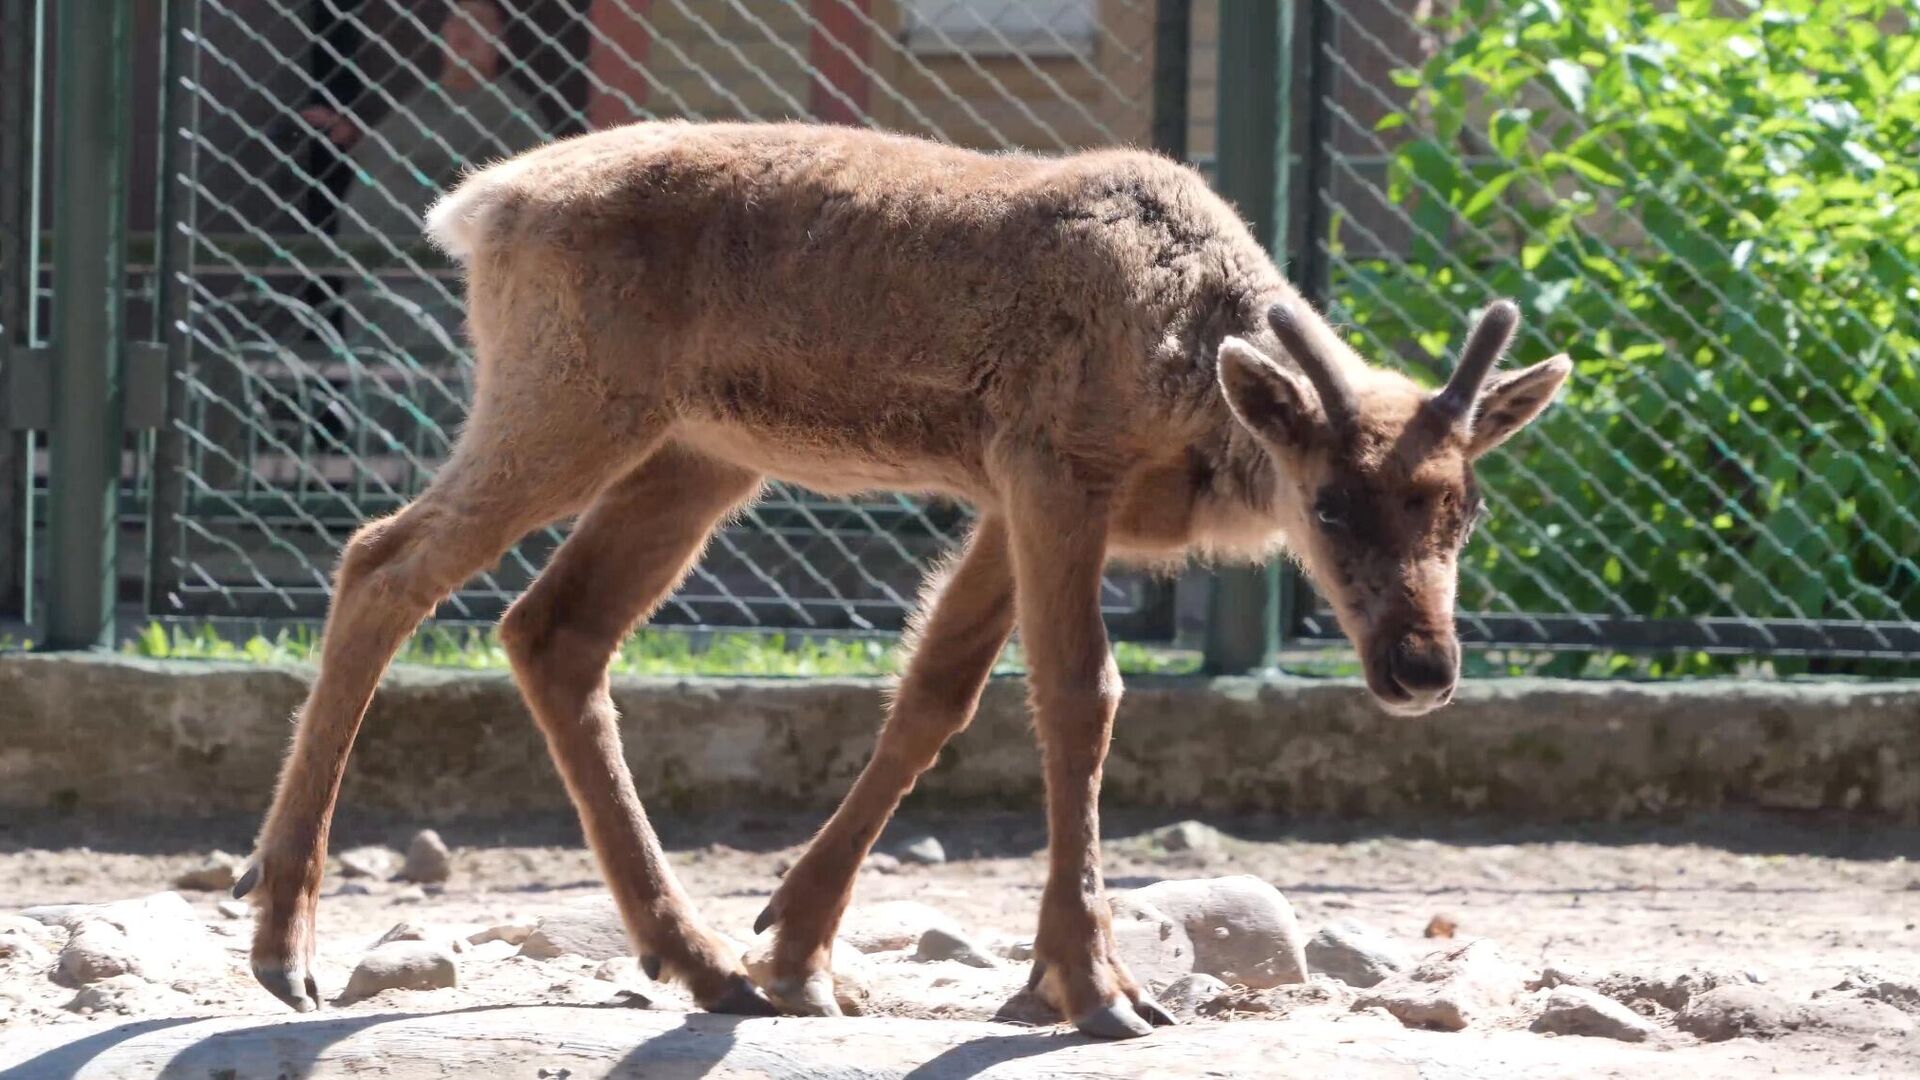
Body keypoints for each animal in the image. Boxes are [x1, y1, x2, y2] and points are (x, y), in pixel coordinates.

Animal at [232, 117, 1566, 1037]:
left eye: (1466, 505)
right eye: (1330, 502)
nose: (1422, 668)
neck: (1191, 378)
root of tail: (478, 207)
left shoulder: (1007, 503)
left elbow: (938, 690)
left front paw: (796, 954)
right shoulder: (1053, 468)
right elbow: (1079, 695)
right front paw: (1096, 989)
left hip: (695, 454)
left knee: (553, 629)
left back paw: (700, 962)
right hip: (567, 398)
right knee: (383, 560)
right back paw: (283, 944)